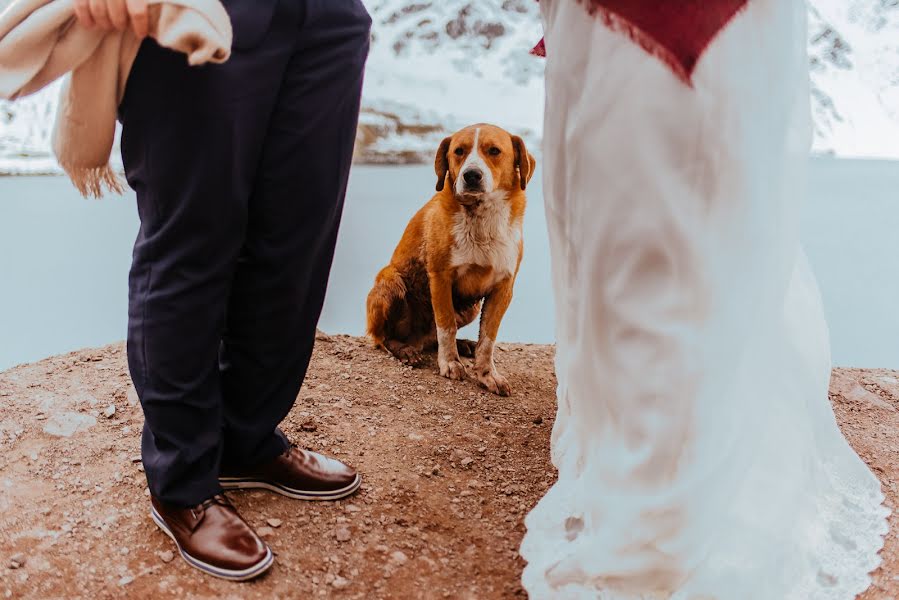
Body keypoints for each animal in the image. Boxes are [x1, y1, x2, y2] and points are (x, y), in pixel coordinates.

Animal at [366, 123, 536, 396]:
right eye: (459, 151)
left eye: (494, 151)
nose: (471, 175)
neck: (481, 221)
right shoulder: (440, 278)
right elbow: (445, 325)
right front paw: (449, 363)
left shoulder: (504, 286)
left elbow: (488, 338)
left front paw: (486, 373)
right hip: (391, 280)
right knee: (382, 338)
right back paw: (405, 349)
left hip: (471, 308)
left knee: (431, 339)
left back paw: (464, 344)